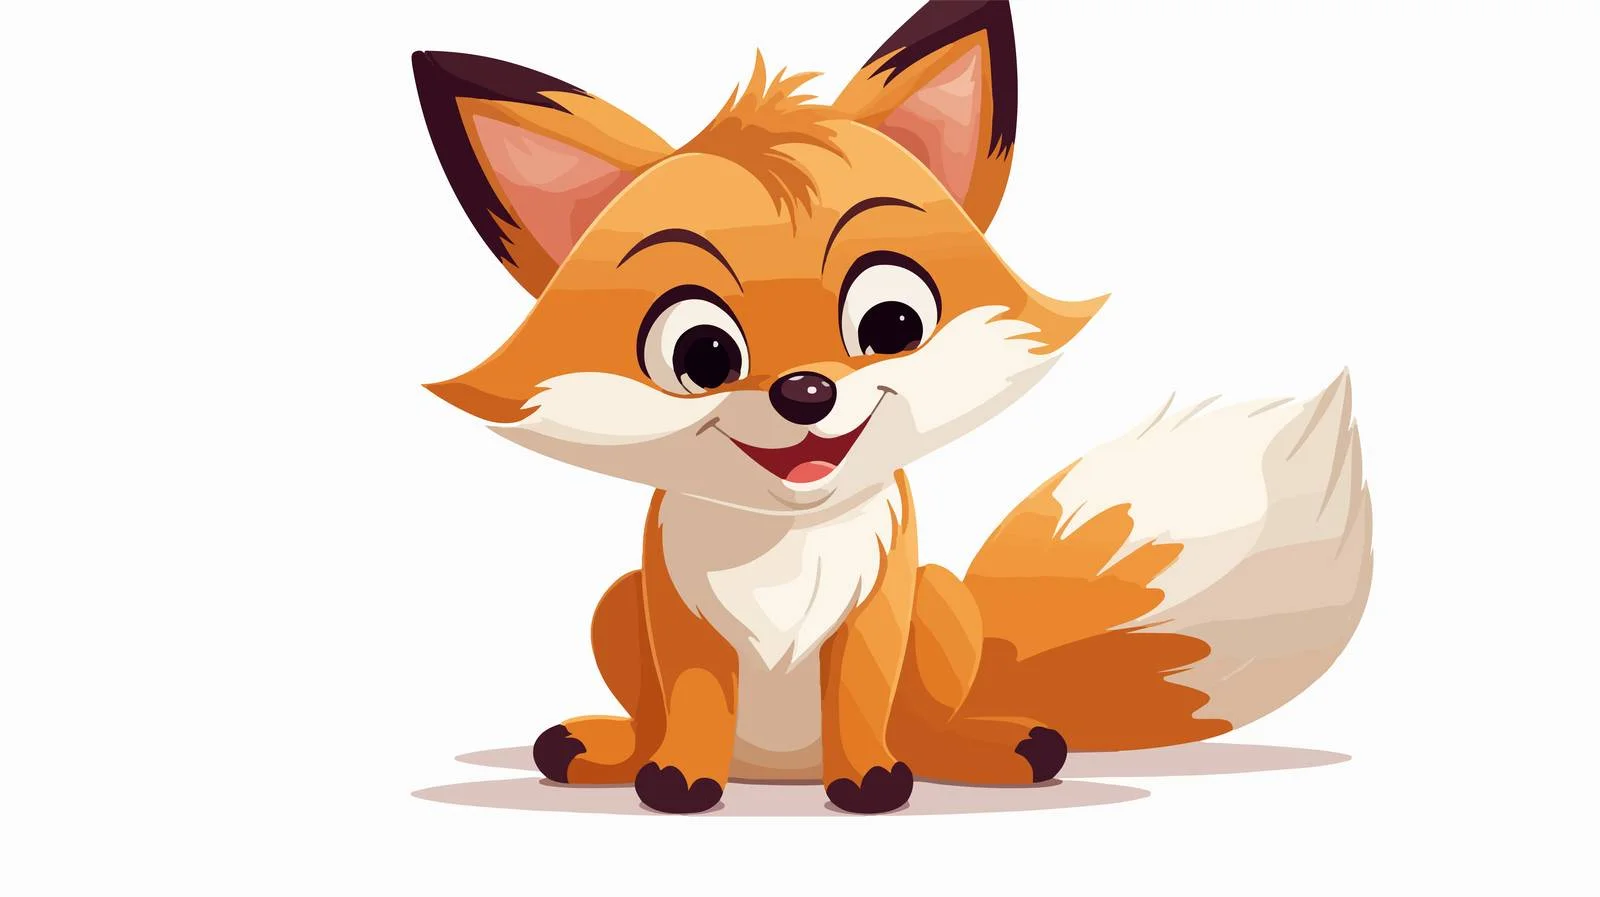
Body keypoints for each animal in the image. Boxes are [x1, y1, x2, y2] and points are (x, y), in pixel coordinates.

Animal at [410, 1, 1372, 814]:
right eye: (702, 353)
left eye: (892, 322)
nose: (806, 391)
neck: (787, 538)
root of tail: (776, 774)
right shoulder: (675, 614)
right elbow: (692, 703)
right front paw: (677, 778)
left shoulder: (881, 608)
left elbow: (861, 701)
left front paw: (869, 781)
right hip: (615, 604)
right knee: (653, 716)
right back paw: (613, 750)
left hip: (941, 601)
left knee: (929, 725)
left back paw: (984, 748)